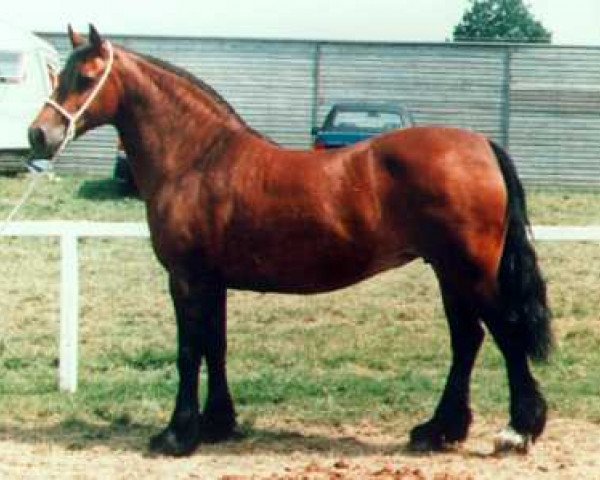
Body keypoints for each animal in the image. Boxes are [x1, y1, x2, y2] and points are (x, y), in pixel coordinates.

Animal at [28, 26, 552, 458]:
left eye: (86, 77)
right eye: (59, 73)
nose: (38, 134)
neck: (198, 158)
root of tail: (481, 145)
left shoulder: (186, 278)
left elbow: (189, 351)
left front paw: (177, 435)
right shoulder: (213, 282)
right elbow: (215, 345)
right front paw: (218, 424)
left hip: (469, 271)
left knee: (504, 333)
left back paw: (517, 430)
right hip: (448, 272)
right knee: (467, 340)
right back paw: (438, 431)